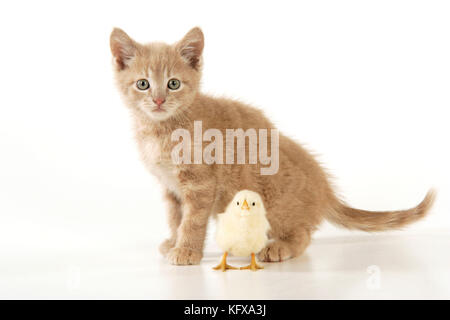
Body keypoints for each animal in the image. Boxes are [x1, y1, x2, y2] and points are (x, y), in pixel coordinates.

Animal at [110, 26, 436, 264]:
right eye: (143, 84)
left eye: (174, 84)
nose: (158, 100)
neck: (161, 129)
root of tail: (324, 188)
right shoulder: (170, 187)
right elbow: (175, 217)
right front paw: (173, 241)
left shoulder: (201, 182)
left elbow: (192, 220)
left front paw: (187, 251)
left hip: (272, 197)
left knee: (303, 233)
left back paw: (280, 247)